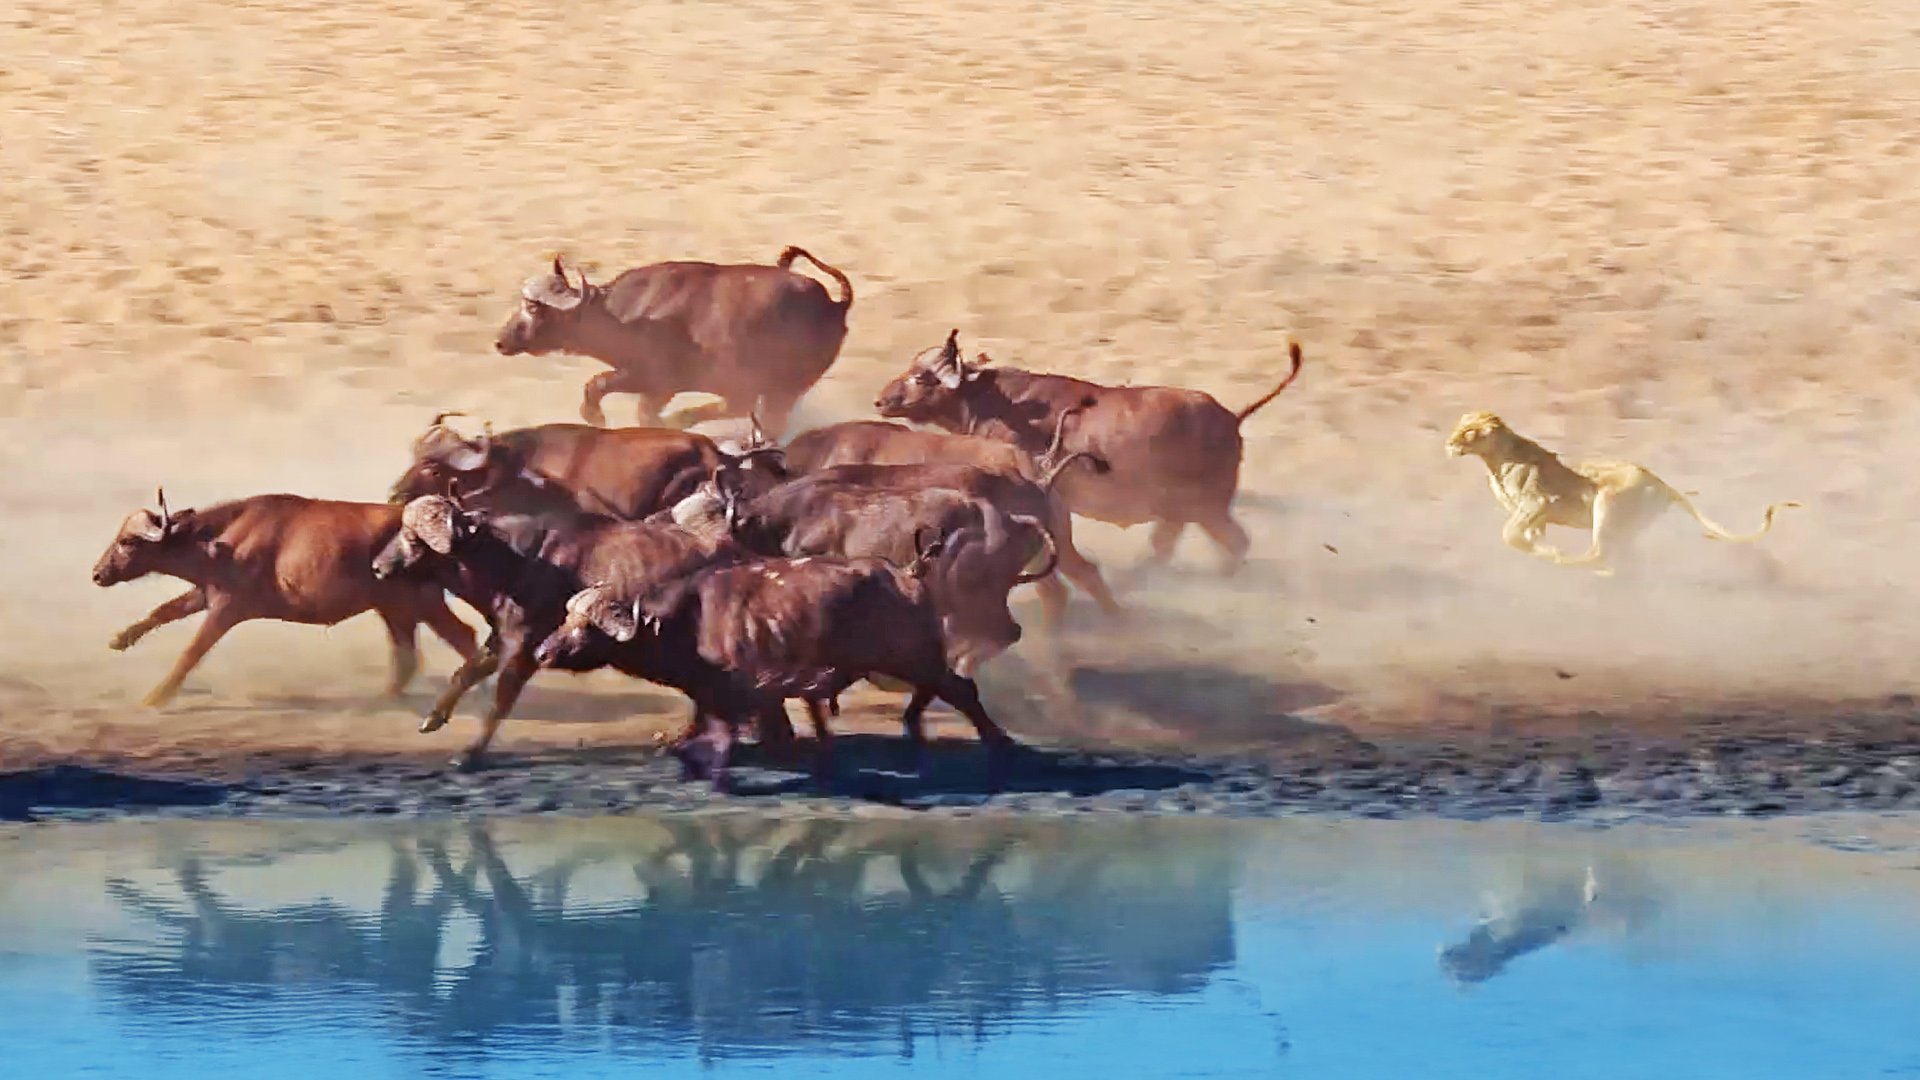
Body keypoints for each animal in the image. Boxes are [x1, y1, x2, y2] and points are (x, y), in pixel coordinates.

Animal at [1445, 410, 1800, 575]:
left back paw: (1574, 564)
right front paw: (1540, 550)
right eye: (1458, 426)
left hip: (1608, 504)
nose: (1448, 444)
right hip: (1627, 527)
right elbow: (1527, 537)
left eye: (1469, 432)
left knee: (1599, 552)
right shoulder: (1537, 515)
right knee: (1626, 560)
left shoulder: (1538, 502)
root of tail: (1662, 483)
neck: (1494, 458)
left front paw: (1548, 553)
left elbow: (1509, 534)